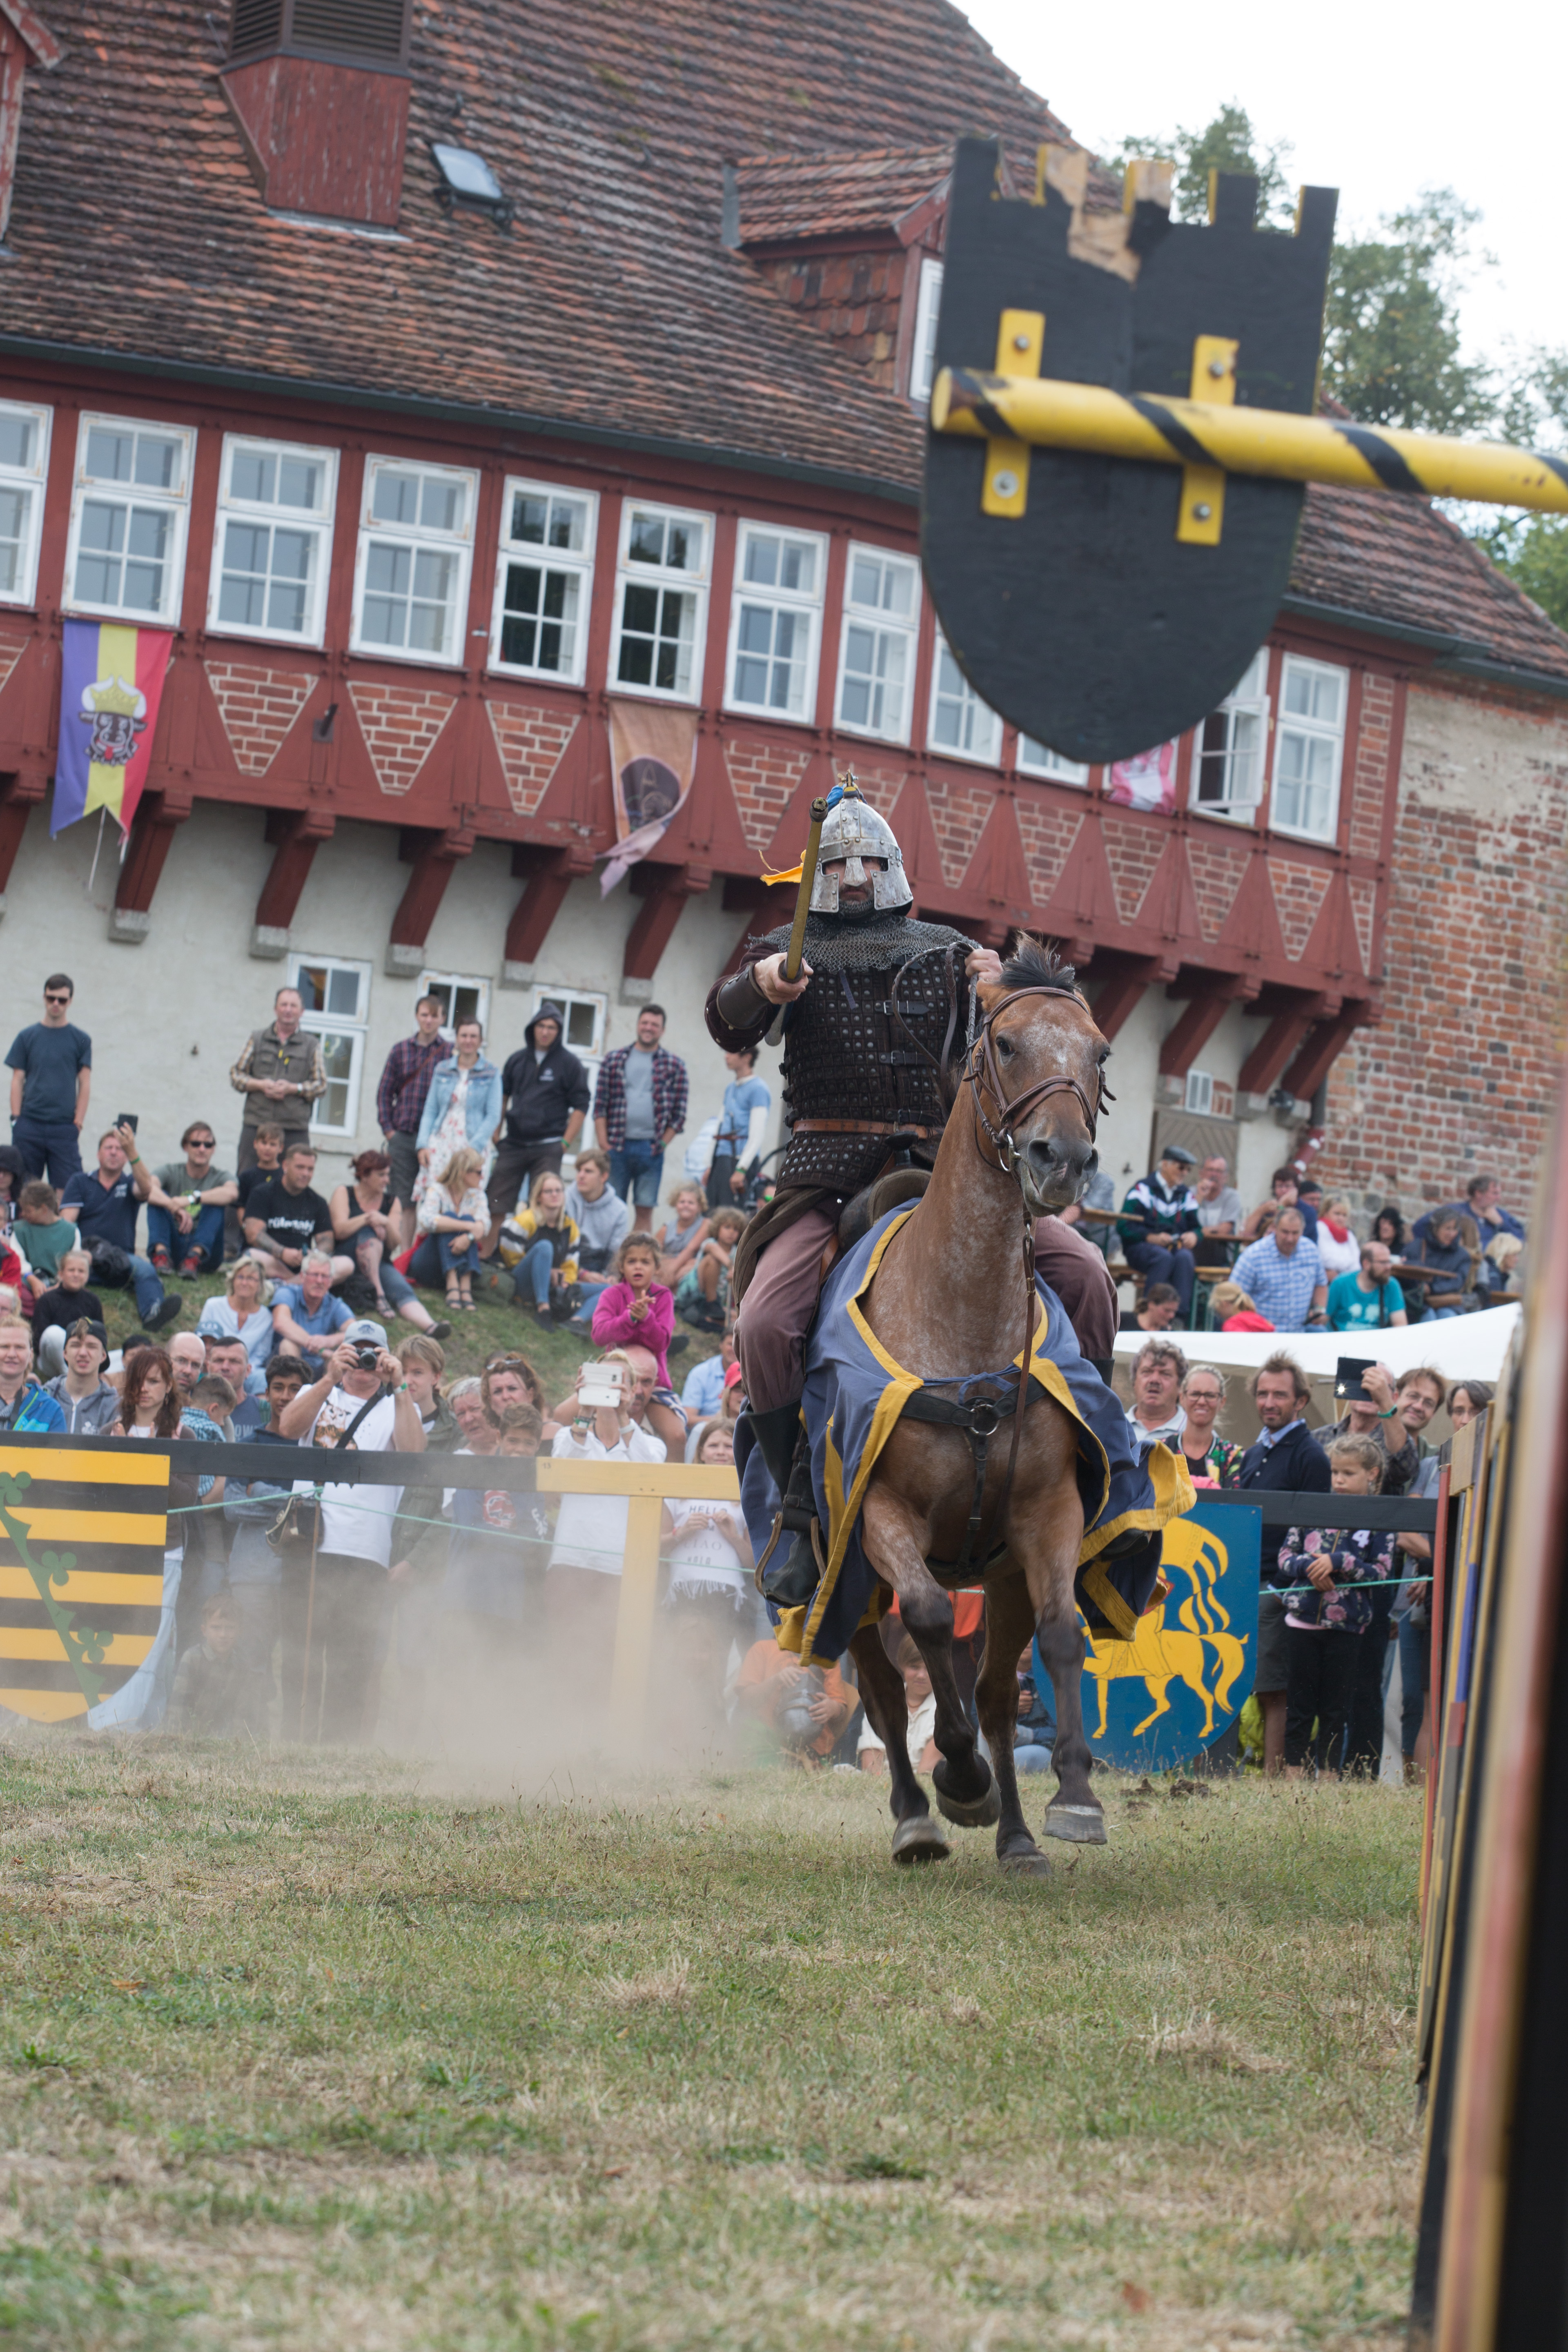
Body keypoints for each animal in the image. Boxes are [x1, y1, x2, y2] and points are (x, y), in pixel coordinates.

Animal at [839, 935, 1130, 1875]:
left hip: (999, 1572)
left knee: (1000, 1690)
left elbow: (1063, 1630)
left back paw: (1018, 1835)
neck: (960, 1319)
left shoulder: (1046, 1513)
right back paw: (918, 1817)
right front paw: (959, 1779)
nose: (1061, 1159)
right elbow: (928, 1623)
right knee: (884, 1684)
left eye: (1099, 1053)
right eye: (1004, 1044)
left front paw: (1073, 1797)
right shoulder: (875, 1515)